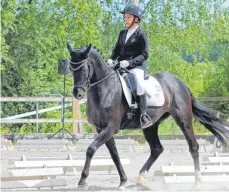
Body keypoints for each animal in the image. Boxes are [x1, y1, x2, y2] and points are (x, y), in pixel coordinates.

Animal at [67, 43, 229, 189]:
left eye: (84, 68)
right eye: (71, 68)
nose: (78, 94)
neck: (105, 89)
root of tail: (179, 82)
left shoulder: (111, 127)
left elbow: (91, 149)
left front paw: (82, 181)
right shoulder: (101, 128)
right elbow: (114, 155)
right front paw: (123, 181)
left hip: (183, 119)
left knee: (193, 146)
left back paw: (198, 182)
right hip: (150, 125)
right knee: (157, 149)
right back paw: (141, 179)